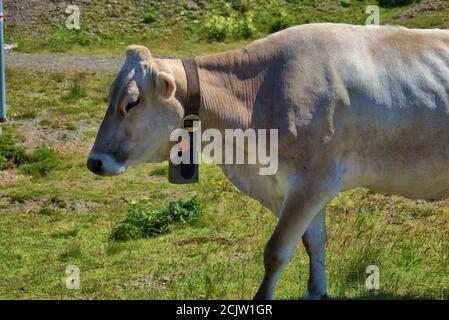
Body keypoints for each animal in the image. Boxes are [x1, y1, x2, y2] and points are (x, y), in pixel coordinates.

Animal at [87, 23, 448, 300]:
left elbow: (276, 252)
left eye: (132, 102)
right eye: (110, 97)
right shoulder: (306, 187)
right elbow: (314, 242)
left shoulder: (312, 182)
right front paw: (316, 291)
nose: (95, 162)